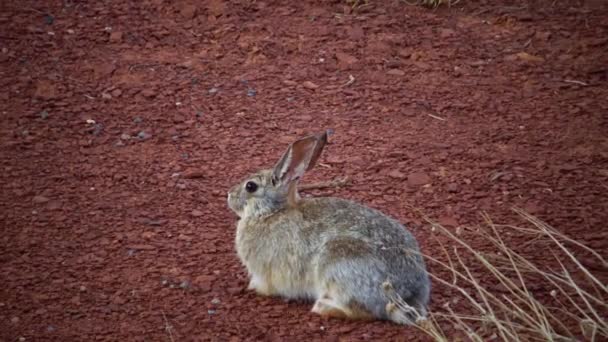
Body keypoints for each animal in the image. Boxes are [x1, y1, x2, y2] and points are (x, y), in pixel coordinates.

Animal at [228, 130, 432, 324]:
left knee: (361, 311)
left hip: (337, 264)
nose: (229, 195)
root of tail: (406, 296)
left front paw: (253, 286)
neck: (272, 212)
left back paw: (323, 307)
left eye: (250, 186)